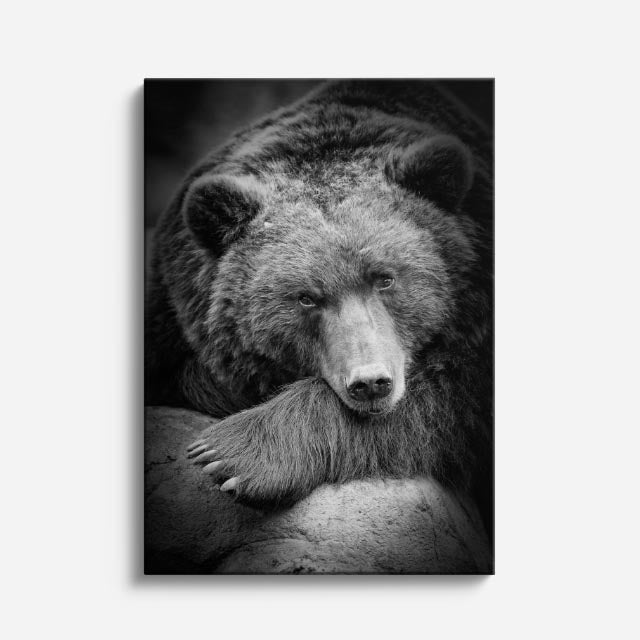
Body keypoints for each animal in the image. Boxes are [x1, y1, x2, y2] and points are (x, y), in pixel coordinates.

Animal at [145, 80, 493, 530]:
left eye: (384, 277)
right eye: (306, 297)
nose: (370, 383)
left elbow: (447, 398)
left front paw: (234, 454)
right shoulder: (169, 312)